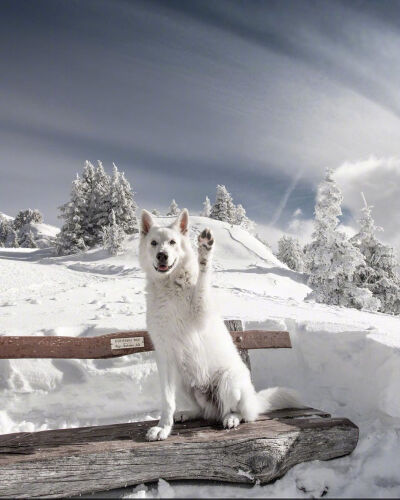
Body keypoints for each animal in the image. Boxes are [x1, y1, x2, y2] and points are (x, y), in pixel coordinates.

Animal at [139, 209, 302, 440]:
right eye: (154, 243)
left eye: (172, 242)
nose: (162, 255)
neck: (169, 287)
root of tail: (254, 400)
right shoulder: (165, 357)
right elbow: (167, 401)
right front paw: (163, 427)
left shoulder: (202, 313)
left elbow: (202, 281)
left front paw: (205, 252)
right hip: (182, 381)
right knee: (203, 411)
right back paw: (187, 414)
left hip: (228, 382)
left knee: (239, 412)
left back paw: (232, 418)